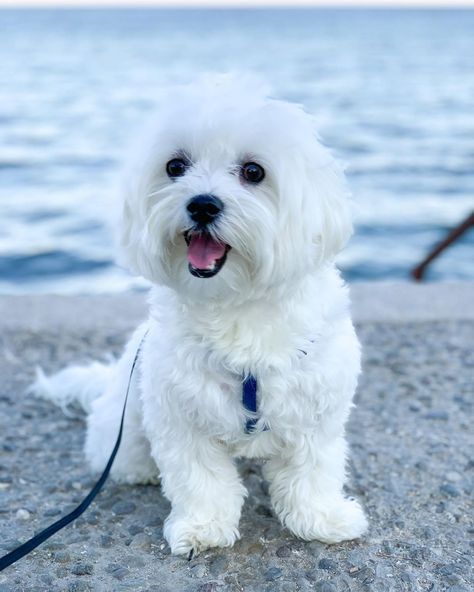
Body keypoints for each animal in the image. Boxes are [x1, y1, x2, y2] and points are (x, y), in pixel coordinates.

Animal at [35, 73, 368, 556]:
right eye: (175, 166)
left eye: (253, 171)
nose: (202, 204)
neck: (237, 308)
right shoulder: (180, 416)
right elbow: (200, 479)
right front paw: (203, 527)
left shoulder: (315, 411)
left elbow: (313, 470)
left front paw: (321, 518)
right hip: (126, 427)